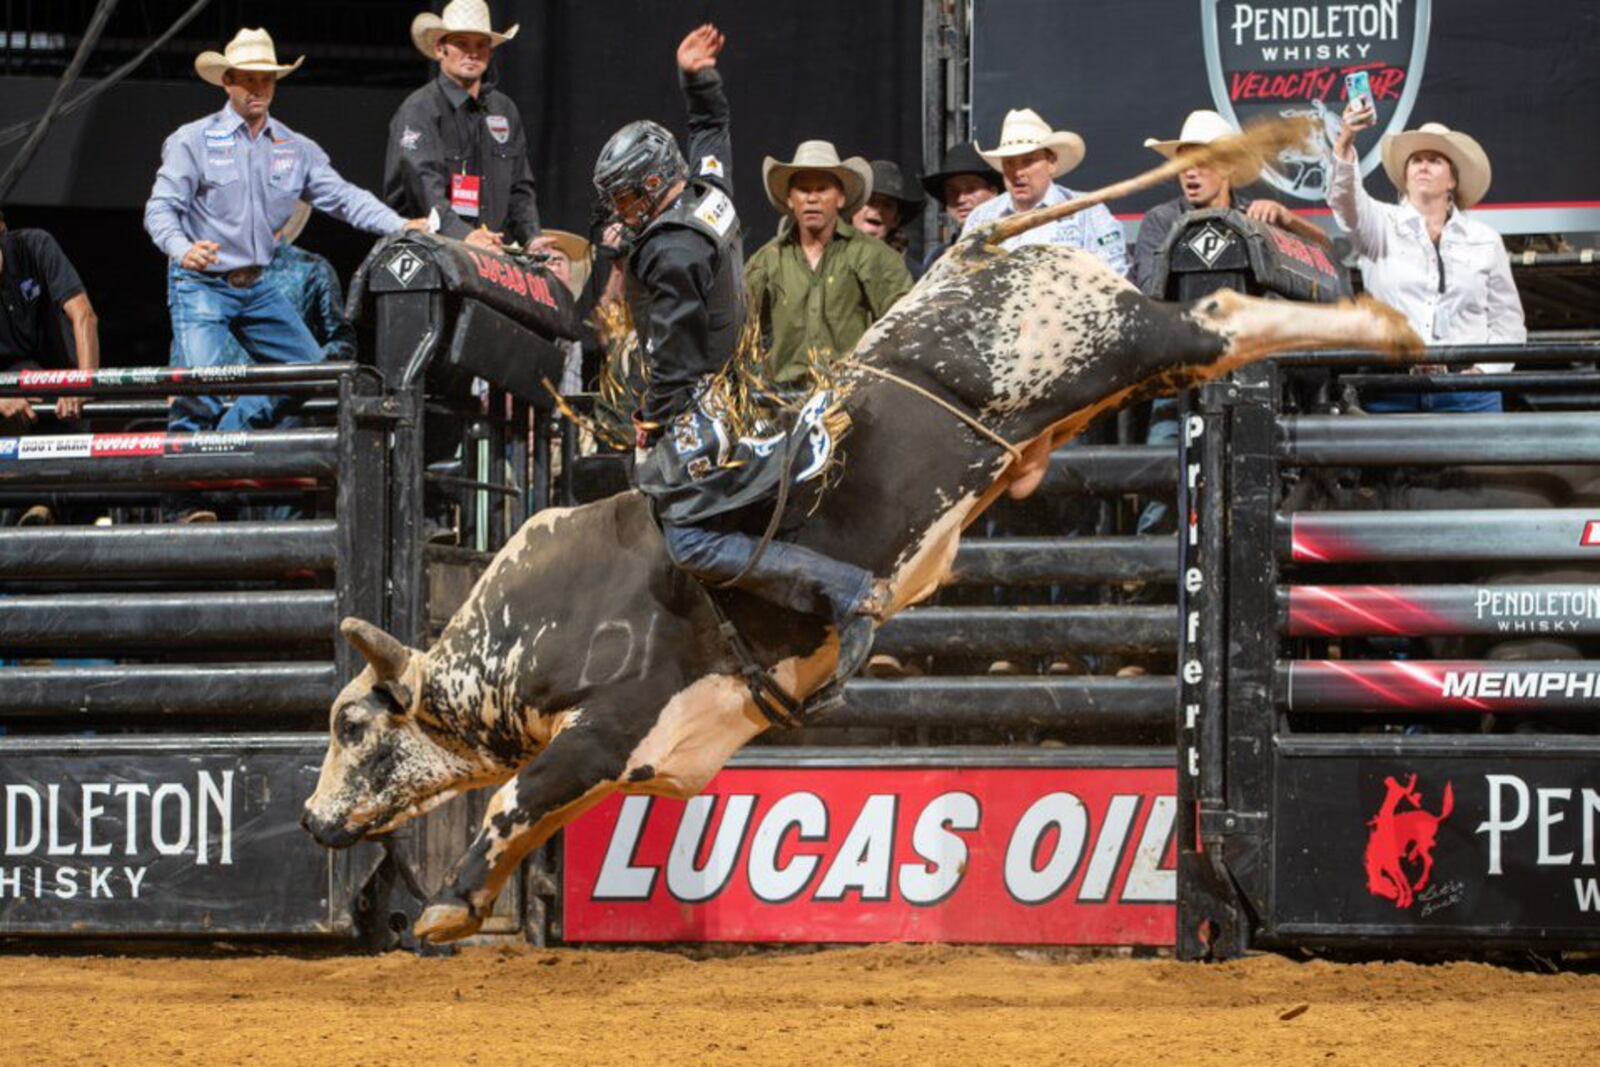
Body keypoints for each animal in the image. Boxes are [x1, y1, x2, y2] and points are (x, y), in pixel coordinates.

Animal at [300, 125, 1427, 940]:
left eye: (353, 723)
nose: (311, 820)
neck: (514, 642)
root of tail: (981, 248)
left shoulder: (607, 722)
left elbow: (510, 799)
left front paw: (445, 905)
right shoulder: (644, 758)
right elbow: (538, 812)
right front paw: (466, 900)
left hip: (1123, 340)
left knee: (1225, 316)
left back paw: (1387, 324)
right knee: (1226, 326)